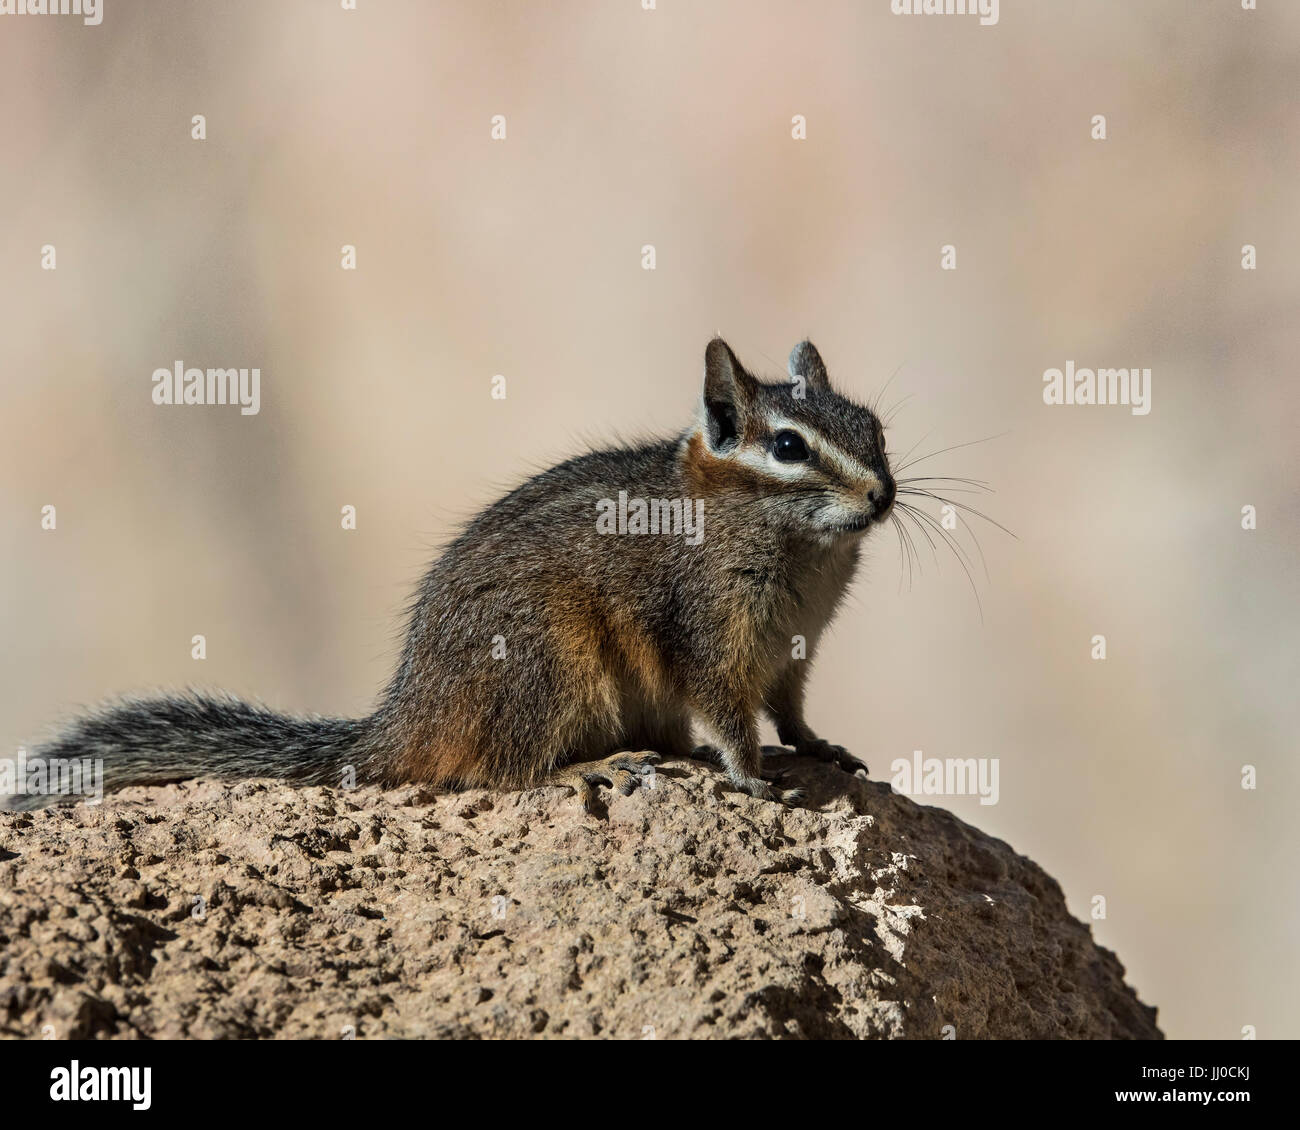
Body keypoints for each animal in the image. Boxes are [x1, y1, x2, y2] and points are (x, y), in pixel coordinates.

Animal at [11, 338, 896, 812]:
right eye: (788, 446)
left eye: (874, 427)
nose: (883, 494)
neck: (802, 554)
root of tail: (408, 714)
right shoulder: (707, 636)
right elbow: (731, 716)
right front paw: (755, 781)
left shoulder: (794, 650)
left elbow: (791, 711)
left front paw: (821, 747)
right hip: (548, 659)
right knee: (494, 771)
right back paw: (587, 766)